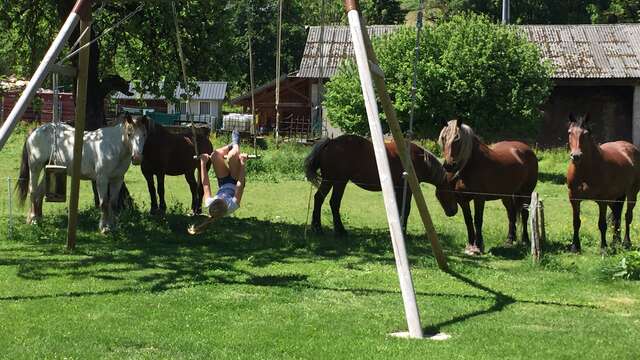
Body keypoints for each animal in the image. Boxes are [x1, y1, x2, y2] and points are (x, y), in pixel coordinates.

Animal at [17, 114, 150, 233]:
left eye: (144, 135)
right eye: (129, 134)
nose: (137, 158)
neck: (113, 147)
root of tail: (35, 131)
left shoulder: (117, 179)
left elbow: (112, 203)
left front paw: (113, 227)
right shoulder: (102, 179)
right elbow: (104, 203)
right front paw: (104, 228)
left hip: (49, 170)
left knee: (39, 193)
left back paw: (38, 219)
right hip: (35, 167)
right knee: (33, 191)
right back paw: (33, 220)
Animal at [304, 134, 458, 235]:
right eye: (452, 192)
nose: (454, 211)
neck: (416, 160)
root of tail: (331, 142)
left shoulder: (398, 189)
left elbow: (400, 210)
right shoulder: (406, 189)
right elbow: (406, 209)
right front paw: (403, 232)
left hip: (332, 181)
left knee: (322, 199)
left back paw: (320, 227)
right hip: (337, 182)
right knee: (331, 202)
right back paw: (335, 230)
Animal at [438, 119, 536, 255]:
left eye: (457, 139)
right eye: (443, 138)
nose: (449, 165)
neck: (470, 165)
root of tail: (527, 149)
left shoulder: (479, 199)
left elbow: (478, 220)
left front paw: (478, 246)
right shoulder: (462, 200)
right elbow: (468, 220)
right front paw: (470, 246)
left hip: (526, 193)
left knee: (525, 214)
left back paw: (525, 240)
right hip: (506, 196)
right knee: (511, 215)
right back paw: (509, 240)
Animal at [564, 114, 640, 252]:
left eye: (586, 133)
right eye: (569, 132)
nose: (576, 156)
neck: (585, 171)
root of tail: (630, 147)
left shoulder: (602, 201)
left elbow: (602, 224)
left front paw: (603, 247)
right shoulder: (574, 198)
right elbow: (576, 222)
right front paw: (575, 247)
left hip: (632, 193)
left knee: (627, 216)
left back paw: (626, 242)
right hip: (617, 196)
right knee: (617, 216)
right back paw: (615, 242)